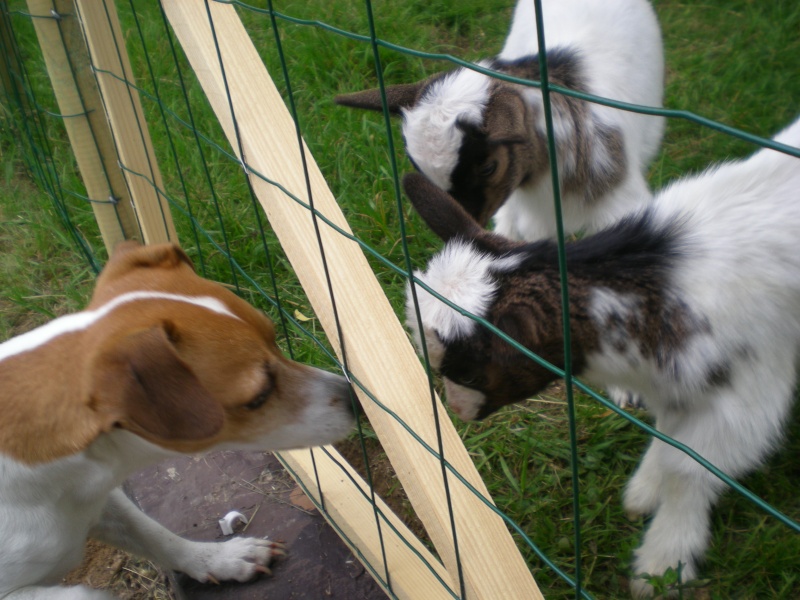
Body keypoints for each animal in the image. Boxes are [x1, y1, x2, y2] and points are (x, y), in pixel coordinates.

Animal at [0, 243, 356, 600]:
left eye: (274, 338)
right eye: (259, 396)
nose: (354, 398)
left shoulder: (106, 503)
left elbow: (155, 535)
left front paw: (222, 558)